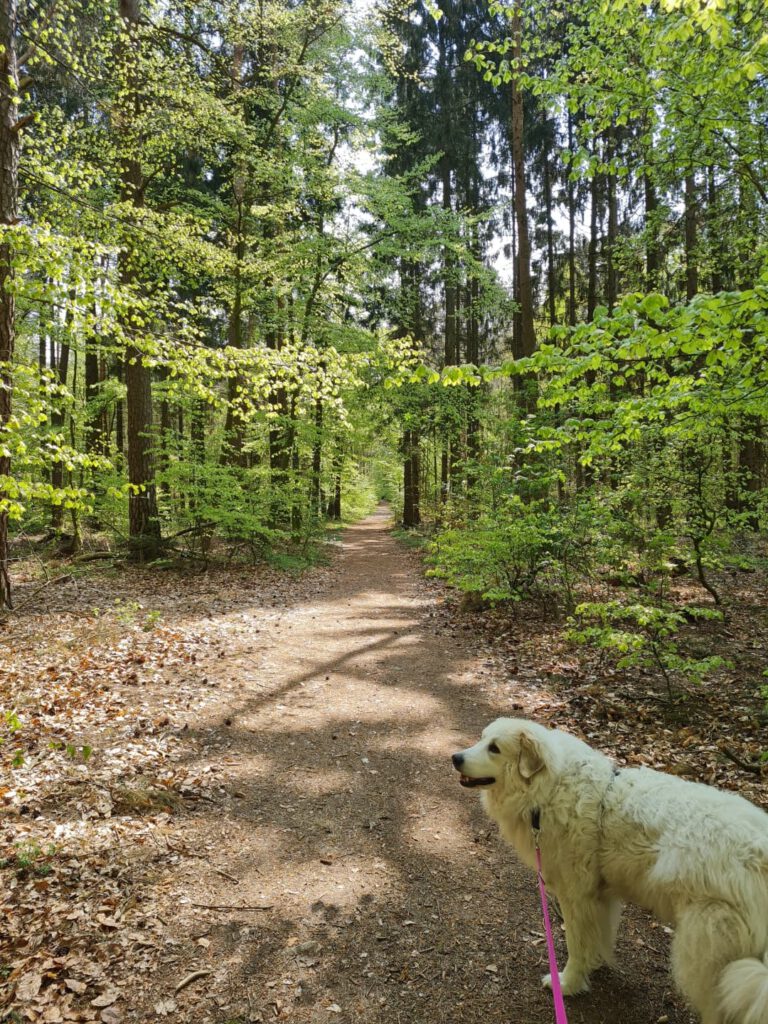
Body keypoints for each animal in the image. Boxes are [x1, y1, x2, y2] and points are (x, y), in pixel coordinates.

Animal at [454, 720, 768, 1024]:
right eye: (481, 738)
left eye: (494, 748)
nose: (455, 758)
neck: (549, 789)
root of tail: (760, 850)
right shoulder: (598, 897)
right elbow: (596, 937)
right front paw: (591, 966)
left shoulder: (576, 898)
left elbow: (576, 943)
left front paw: (567, 983)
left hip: (708, 948)